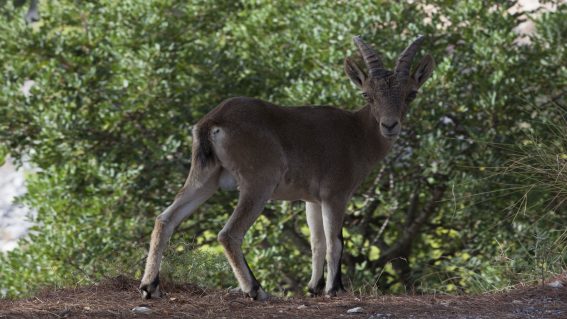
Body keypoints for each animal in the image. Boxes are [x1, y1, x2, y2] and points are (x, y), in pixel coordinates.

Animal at [139, 35, 434, 300]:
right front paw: (333, 289)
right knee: (229, 233)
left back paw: (150, 286)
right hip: (259, 181)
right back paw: (255, 290)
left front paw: (313, 288)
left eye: (411, 94)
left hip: (205, 177)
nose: (390, 125)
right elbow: (335, 242)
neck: (357, 134)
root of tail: (213, 122)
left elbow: (317, 241)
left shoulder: (312, 199)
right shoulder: (335, 194)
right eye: (367, 94)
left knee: (165, 219)